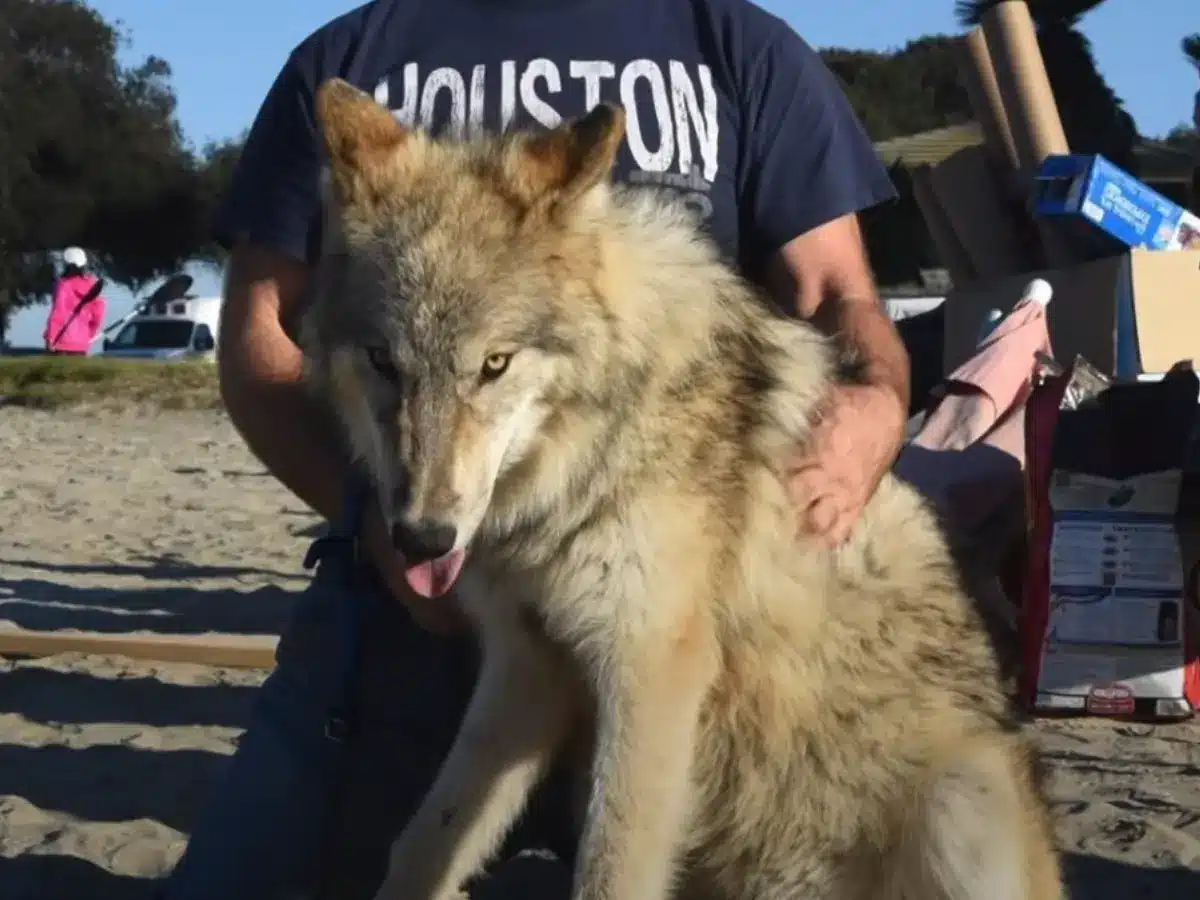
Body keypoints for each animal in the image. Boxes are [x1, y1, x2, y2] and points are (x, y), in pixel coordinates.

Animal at [297, 81, 1060, 900]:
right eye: (383, 361)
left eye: (494, 364)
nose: (420, 539)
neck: (587, 463)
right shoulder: (528, 664)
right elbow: (424, 841)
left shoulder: (651, 665)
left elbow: (611, 872)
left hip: (960, 803)